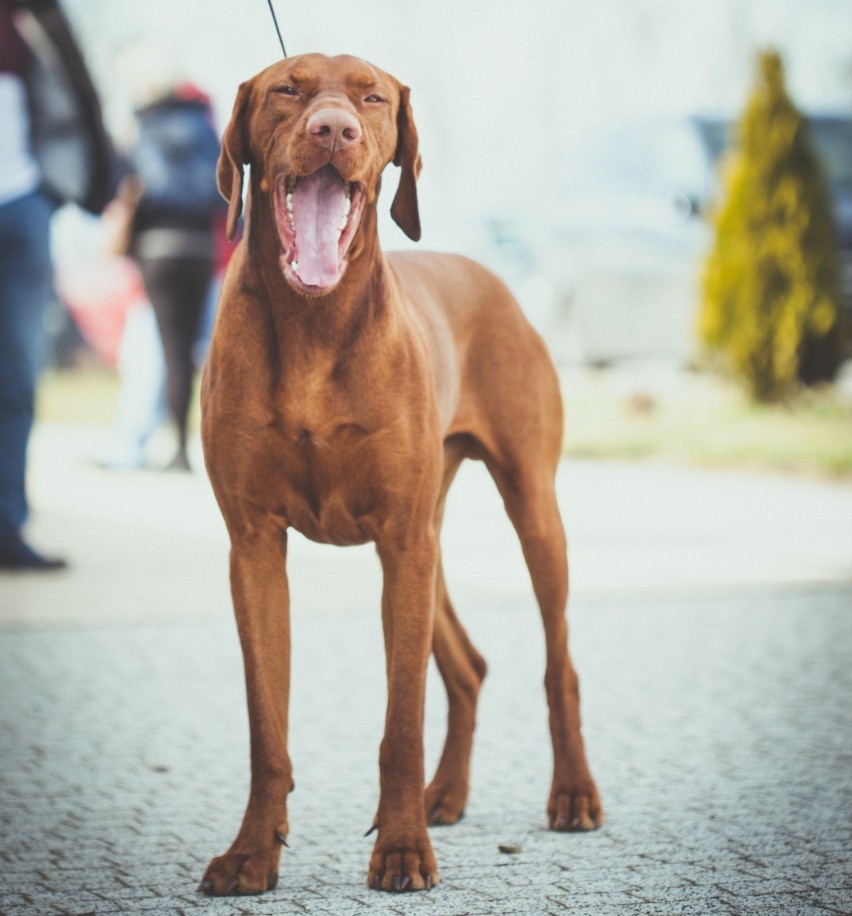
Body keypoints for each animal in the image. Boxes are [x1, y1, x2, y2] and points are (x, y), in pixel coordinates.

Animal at [199, 53, 604, 900]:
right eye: (287, 89)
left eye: (372, 96)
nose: (334, 131)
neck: (315, 325)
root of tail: (492, 276)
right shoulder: (254, 546)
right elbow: (265, 727)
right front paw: (252, 852)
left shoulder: (400, 539)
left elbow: (401, 723)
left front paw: (401, 850)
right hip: (429, 543)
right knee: (469, 667)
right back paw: (444, 794)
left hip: (526, 511)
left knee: (560, 665)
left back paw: (572, 793)